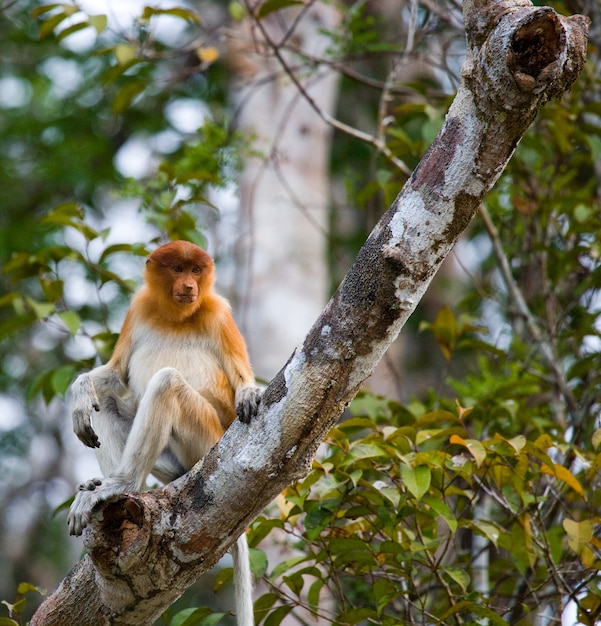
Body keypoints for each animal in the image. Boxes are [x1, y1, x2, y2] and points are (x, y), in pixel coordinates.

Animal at [68, 239, 260, 624]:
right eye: (177, 269)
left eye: (196, 270)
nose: (189, 287)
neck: (176, 317)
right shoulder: (138, 309)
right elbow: (116, 374)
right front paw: (80, 392)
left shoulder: (219, 312)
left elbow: (239, 377)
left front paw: (249, 393)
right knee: (106, 402)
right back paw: (117, 487)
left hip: (206, 439)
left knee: (168, 381)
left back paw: (119, 485)